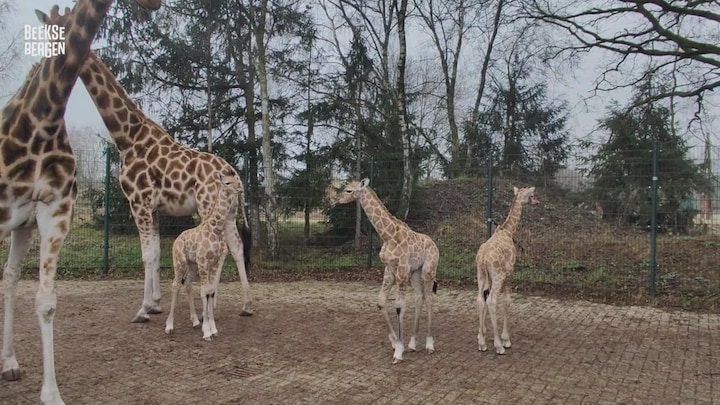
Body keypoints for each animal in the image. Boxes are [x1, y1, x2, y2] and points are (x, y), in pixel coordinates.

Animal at [164, 172, 240, 340]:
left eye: (236, 180)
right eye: (227, 182)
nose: (239, 189)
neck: (216, 228)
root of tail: (176, 240)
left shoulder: (214, 264)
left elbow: (210, 291)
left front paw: (213, 329)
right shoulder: (204, 262)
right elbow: (204, 292)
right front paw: (206, 332)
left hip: (192, 265)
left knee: (188, 284)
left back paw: (194, 321)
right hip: (179, 262)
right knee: (175, 285)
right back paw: (169, 326)